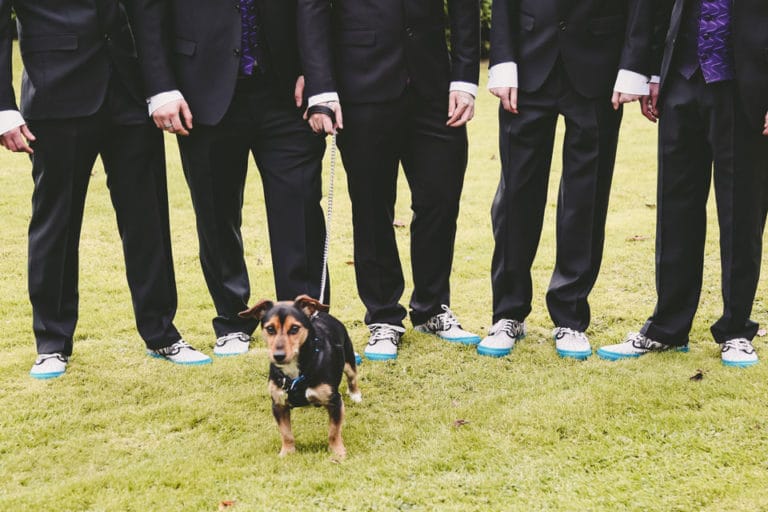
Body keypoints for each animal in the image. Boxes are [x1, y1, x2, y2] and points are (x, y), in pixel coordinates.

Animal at [238, 294, 362, 458]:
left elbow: (334, 432)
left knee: (352, 377)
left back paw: (355, 395)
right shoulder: (278, 404)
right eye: (270, 329)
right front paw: (287, 452)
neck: (296, 372)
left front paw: (338, 453)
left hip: (348, 360)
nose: (278, 356)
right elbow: (286, 434)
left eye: (294, 328)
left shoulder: (334, 402)